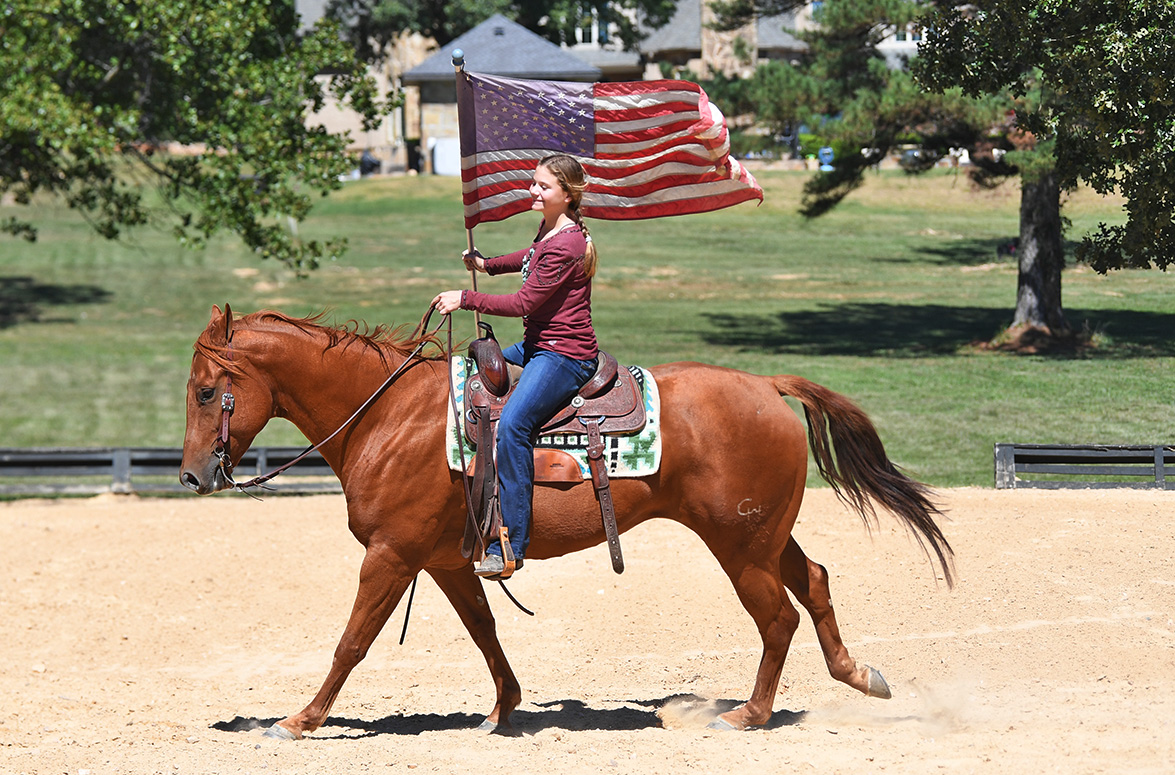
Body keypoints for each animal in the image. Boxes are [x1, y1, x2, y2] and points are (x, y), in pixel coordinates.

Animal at [183, 305, 954, 737]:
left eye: (205, 391)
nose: (192, 475)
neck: (387, 416)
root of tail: (767, 384)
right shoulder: (444, 558)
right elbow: (485, 630)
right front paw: (504, 709)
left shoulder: (391, 554)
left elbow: (351, 643)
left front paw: (297, 720)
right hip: (763, 536)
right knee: (814, 582)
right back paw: (860, 675)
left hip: (738, 546)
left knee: (777, 617)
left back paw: (748, 713)